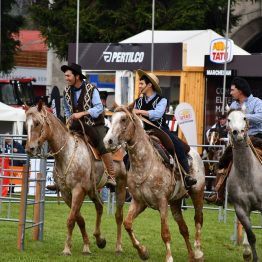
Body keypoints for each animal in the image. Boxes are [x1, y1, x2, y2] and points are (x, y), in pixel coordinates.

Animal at [24, 103, 127, 256]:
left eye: (37, 123)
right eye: (26, 124)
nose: (29, 149)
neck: (66, 153)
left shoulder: (78, 190)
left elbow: (71, 219)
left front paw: (67, 248)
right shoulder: (67, 194)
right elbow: (80, 219)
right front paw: (86, 246)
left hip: (120, 186)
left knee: (119, 216)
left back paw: (119, 247)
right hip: (92, 190)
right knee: (99, 206)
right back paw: (99, 239)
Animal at [103, 106, 206, 262]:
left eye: (124, 119)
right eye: (111, 118)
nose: (108, 141)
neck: (144, 163)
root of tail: (195, 153)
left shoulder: (162, 202)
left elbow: (165, 233)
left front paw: (169, 258)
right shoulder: (139, 202)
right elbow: (127, 223)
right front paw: (143, 251)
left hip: (197, 192)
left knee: (198, 219)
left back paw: (198, 252)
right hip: (175, 202)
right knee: (184, 229)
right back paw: (191, 256)